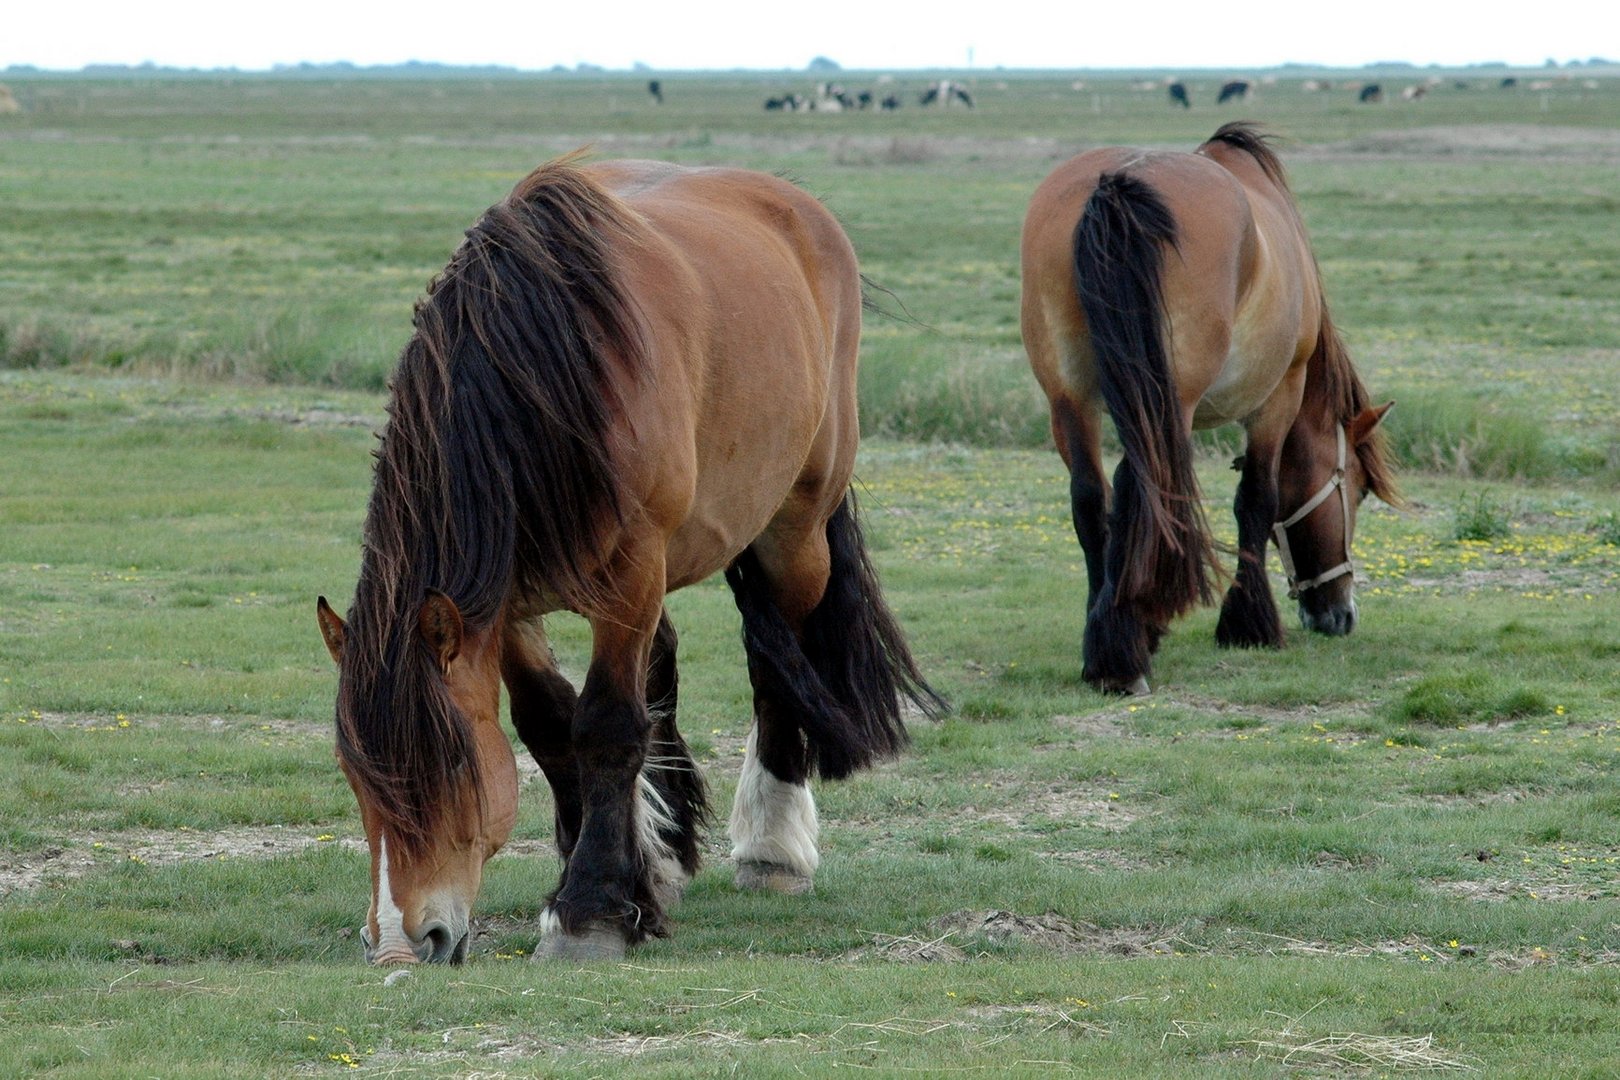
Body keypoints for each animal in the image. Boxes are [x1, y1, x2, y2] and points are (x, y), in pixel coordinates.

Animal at [312, 156, 939, 965]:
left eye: (451, 763)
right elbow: (550, 725)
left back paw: (772, 846)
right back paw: (664, 857)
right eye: (352, 774)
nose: (403, 941)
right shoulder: (507, 606)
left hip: (794, 532)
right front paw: (617, 877)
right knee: (667, 664)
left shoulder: (630, 575)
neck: (547, 378)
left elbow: (606, 726)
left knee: (776, 666)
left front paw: (589, 913)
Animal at [1017, 120, 1399, 693]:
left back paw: (1105, 643)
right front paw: (1248, 624)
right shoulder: (1278, 396)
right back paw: (1124, 656)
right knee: (1141, 487)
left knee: (1092, 498)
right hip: (1168, 400)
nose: (1338, 615)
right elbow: (1257, 500)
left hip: (1069, 399)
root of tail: (1117, 185)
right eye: (1356, 490)